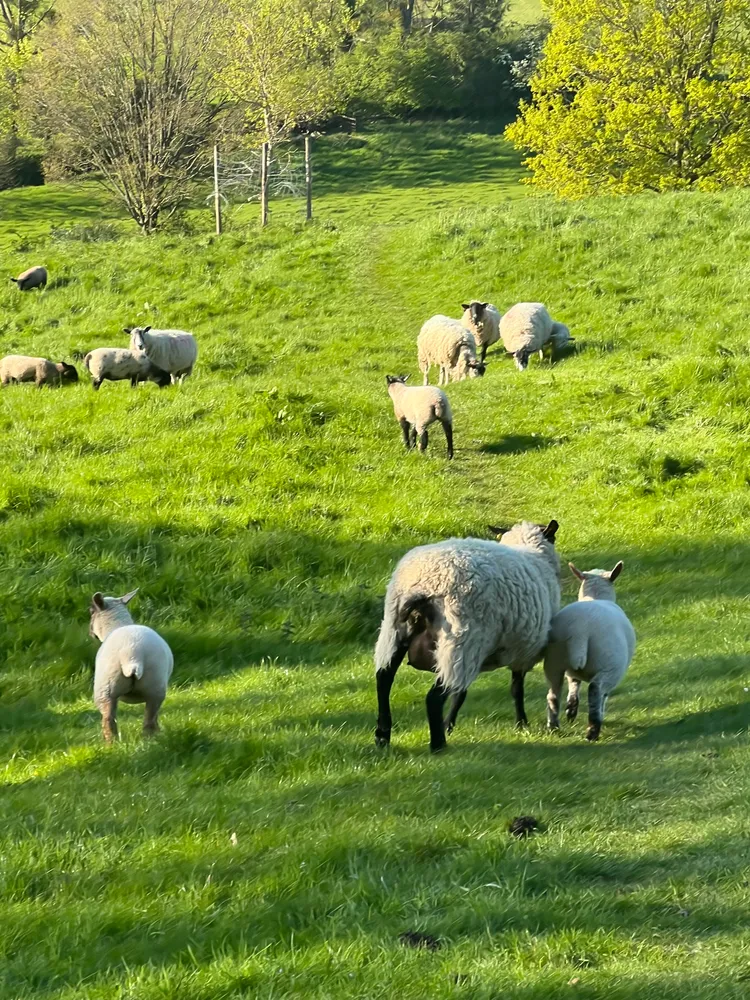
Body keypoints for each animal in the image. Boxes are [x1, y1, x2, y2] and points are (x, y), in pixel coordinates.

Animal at [89, 588, 174, 742]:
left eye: (91, 611)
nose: (91, 634)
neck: (117, 625)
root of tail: (133, 656)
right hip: (156, 689)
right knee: (149, 720)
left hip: (104, 690)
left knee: (109, 720)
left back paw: (112, 744)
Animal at [374, 519, 560, 752]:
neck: (533, 553)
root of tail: (423, 584)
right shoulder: (523, 650)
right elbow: (516, 689)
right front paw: (522, 723)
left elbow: (461, 694)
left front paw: (449, 725)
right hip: (462, 641)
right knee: (434, 697)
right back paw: (438, 745)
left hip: (394, 631)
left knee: (384, 679)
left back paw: (382, 736)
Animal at [544, 560, 635, 741]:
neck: (595, 596)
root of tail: (580, 630)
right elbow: (603, 697)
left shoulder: (571, 673)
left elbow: (574, 685)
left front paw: (571, 710)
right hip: (609, 665)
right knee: (595, 691)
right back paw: (593, 731)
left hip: (554, 661)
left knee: (553, 694)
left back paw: (554, 726)